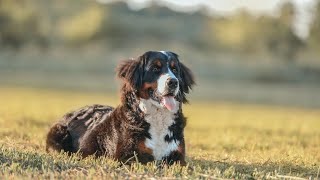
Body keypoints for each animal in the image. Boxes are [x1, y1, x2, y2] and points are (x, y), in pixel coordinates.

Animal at [45, 50, 195, 166]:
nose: (173, 82)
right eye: (155, 68)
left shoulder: (178, 157)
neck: (157, 117)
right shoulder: (127, 156)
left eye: (175, 69)